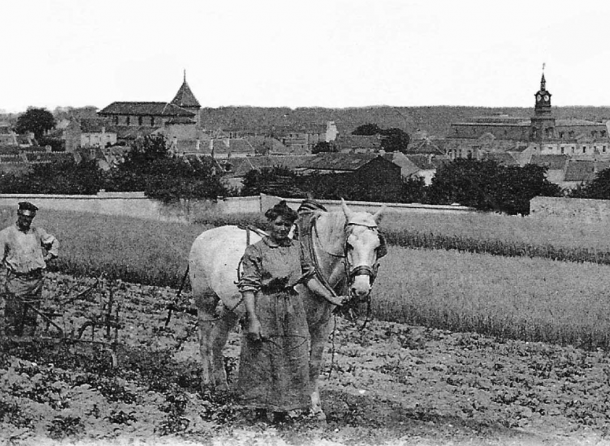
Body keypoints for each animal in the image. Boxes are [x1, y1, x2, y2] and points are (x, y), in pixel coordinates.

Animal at [188, 200, 382, 416]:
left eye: (377, 246)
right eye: (349, 244)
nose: (361, 290)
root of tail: (205, 235)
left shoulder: (323, 325)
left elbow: (314, 363)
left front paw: (315, 407)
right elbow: (292, 361)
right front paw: (293, 406)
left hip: (231, 308)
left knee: (218, 341)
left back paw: (222, 387)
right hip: (204, 301)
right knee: (205, 341)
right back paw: (207, 385)